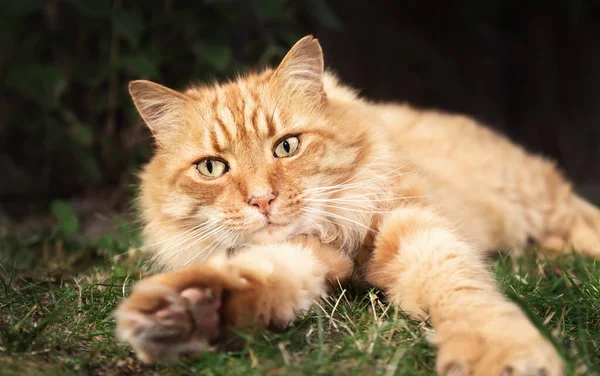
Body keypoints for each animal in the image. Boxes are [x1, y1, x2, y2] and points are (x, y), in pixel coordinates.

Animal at [113, 36, 600, 376]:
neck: (335, 234)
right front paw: (193, 308)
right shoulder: (311, 255)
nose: (262, 199)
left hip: (540, 200)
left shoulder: (411, 224)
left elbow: (462, 291)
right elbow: (261, 274)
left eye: (287, 146)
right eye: (212, 168)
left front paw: (501, 353)